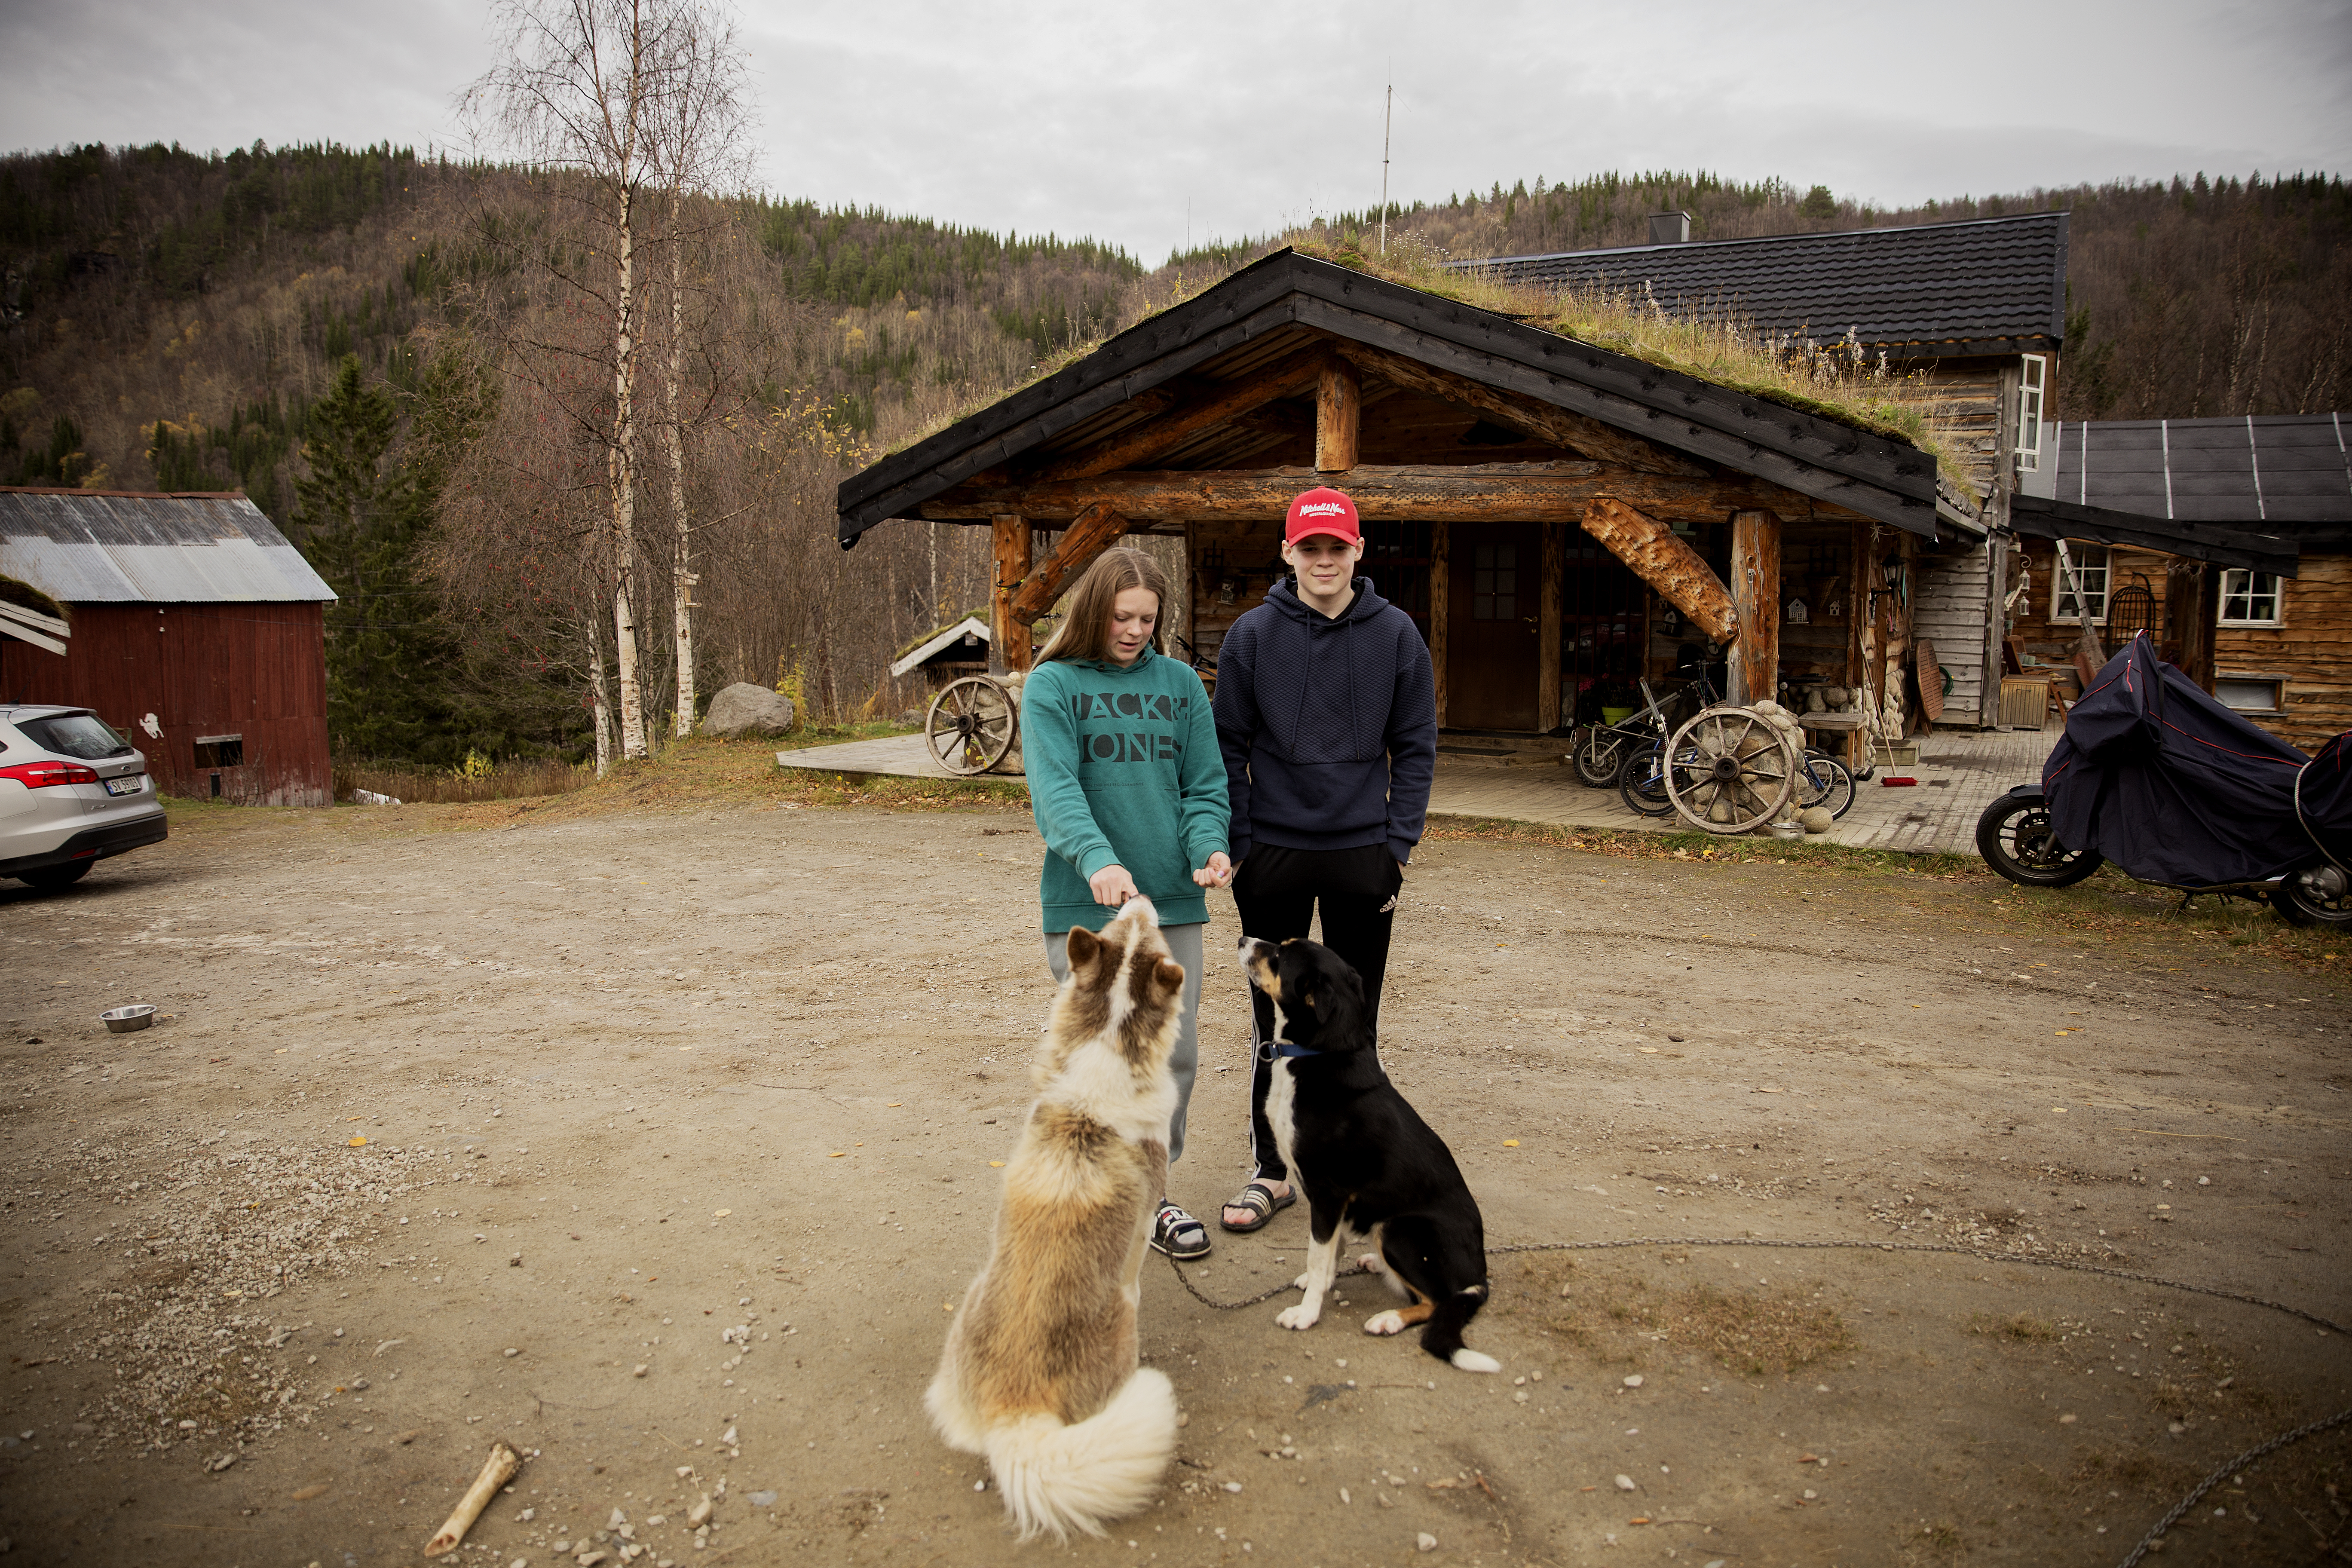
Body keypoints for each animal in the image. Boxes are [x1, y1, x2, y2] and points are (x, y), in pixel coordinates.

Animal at [917, 893, 1176, 1542]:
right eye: (1141, 929)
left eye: (1124, 924)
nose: (1137, 897)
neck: (1107, 1041)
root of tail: (1015, 1413)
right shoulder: (1141, 1229)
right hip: (1120, 1327)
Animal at [1242, 931, 1496, 1373]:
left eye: (1279, 956)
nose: (1243, 939)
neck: (1319, 1054)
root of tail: (1477, 1280)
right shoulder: (1341, 1202)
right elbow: (1331, 1251)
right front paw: (1324, 1283)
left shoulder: (1329, 1193)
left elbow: (1318, 1253)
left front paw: (1306, 1313)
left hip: (1400, 1228)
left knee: (1435, 1302)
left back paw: (1388, 1319)